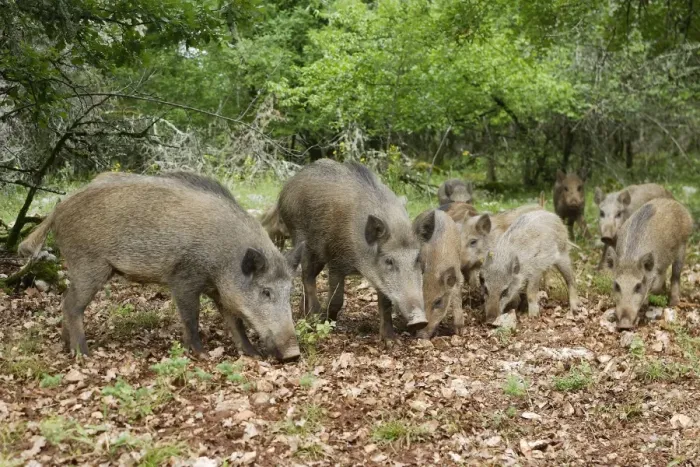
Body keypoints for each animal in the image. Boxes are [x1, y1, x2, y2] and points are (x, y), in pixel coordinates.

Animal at [19, 172, 303, 361]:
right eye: (266, 291)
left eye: (290, 292)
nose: (294, 353)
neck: (225, 259)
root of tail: (58, 210)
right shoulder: (183, 278)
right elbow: (191, 317)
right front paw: (202, 355)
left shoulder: (221, 291)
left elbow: (236, 322)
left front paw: (253, 354)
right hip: (88, 265)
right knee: (71, 305)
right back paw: (84, 355)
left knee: (66, 301)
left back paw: (67, 347)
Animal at [273, 159, 432, 340]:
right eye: (389, 260)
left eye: (418, 258)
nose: (420, 321)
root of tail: (287, 187)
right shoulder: (336, 260)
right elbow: (337, 299)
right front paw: (325, 322)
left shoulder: (379, 277)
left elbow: (385, 304)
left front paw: (390, 340)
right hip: (301, 239)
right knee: (307, 276)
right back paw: (313, 315)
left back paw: (304, 314)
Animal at [606, 198, 693, 330]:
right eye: (616, 285)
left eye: (638, 286)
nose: (624, 325)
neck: (630, 259)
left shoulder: (659, 268)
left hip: (683, 245)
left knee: (675, 275)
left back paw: (673, 303)